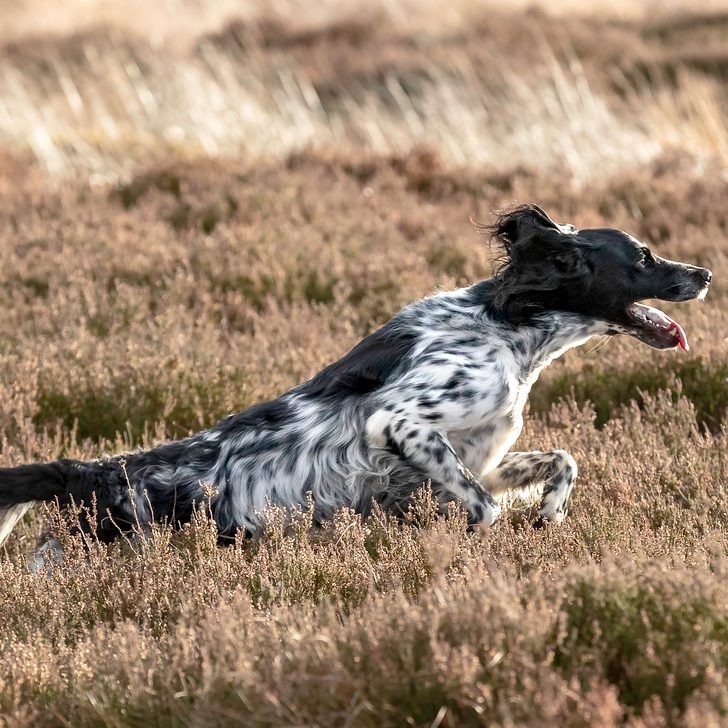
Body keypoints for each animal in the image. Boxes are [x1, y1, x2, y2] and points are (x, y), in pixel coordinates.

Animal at [0, 203, 712, 544]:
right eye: (644, 256)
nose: (705, 272)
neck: (509, 330)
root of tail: (95, 473)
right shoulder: (403, 423)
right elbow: (484, 510)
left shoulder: (479, 455)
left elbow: (562, 461)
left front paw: (550, 517)